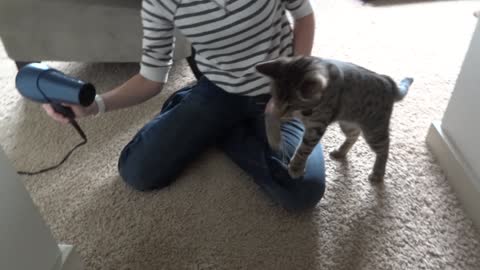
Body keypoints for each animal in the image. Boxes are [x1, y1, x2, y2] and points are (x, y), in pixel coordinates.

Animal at [256, 56, 414, 182]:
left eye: (291, 105)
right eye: (275, 97)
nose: (282, 114)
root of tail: (388, 81)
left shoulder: (316, 128)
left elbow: (303, 150)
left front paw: (296, 167)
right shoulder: (274, 107)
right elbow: (269, 116)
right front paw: (275, 139)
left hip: (374, 130)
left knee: (384, 147)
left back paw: (378, 173)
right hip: (347, 123)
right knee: (354, 135)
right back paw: (341, 151)